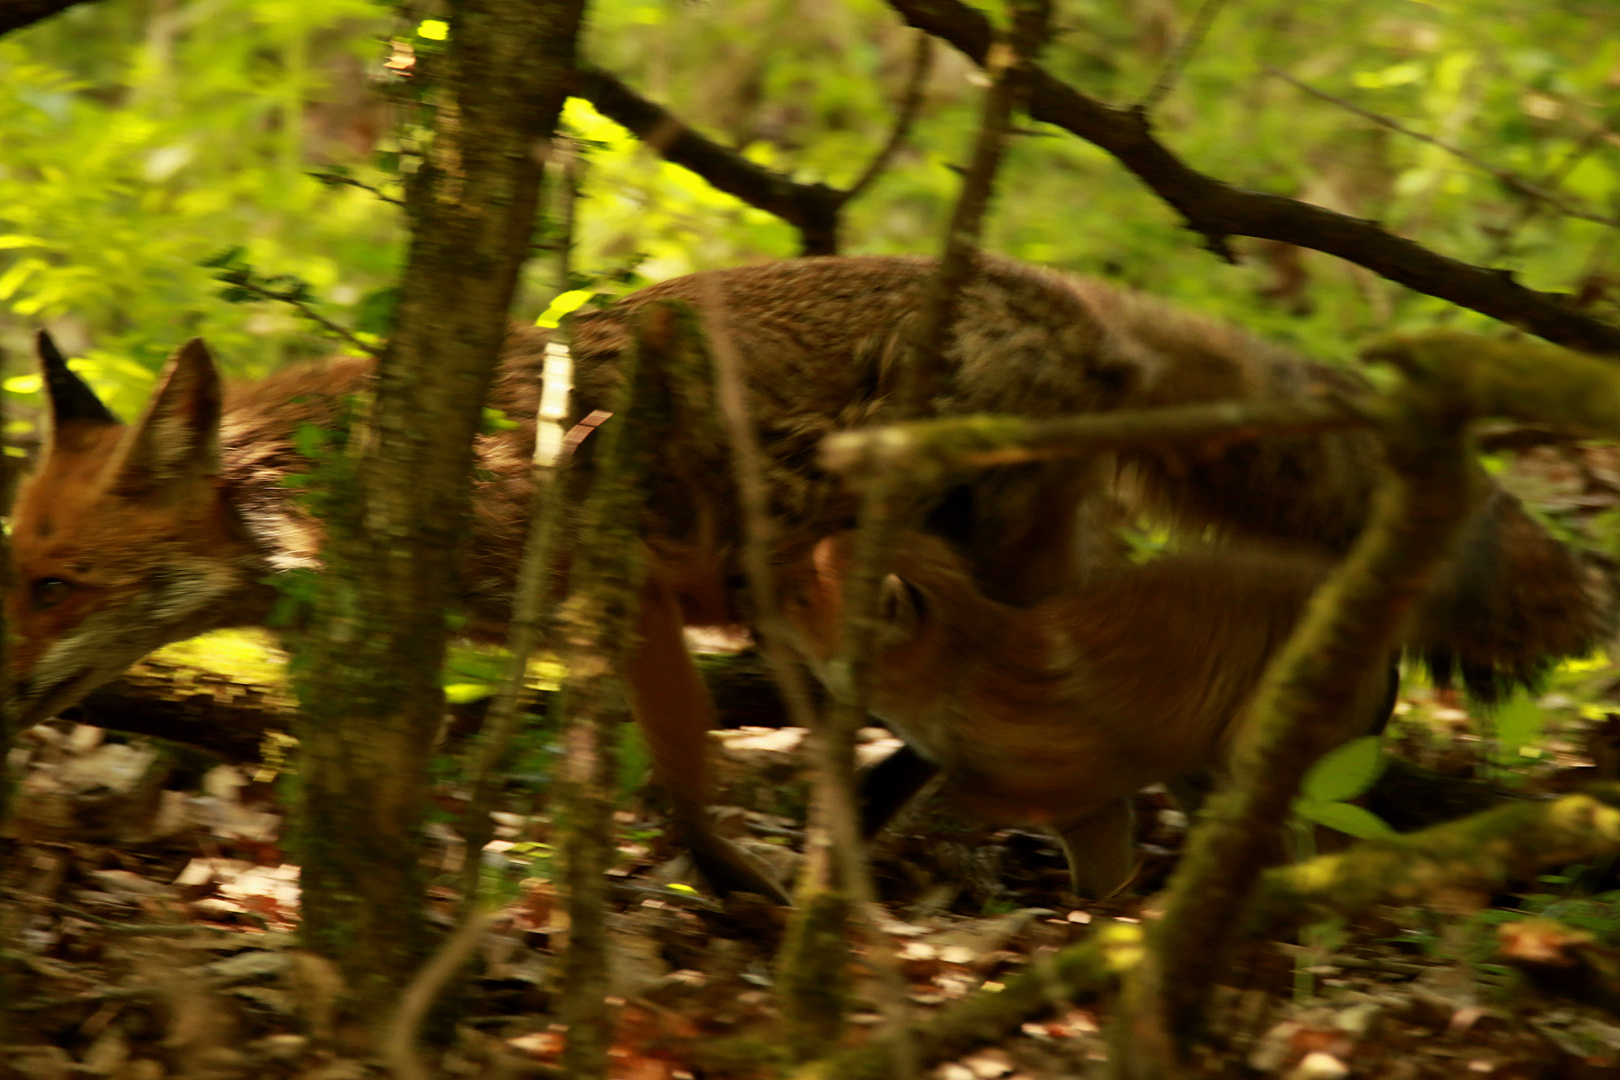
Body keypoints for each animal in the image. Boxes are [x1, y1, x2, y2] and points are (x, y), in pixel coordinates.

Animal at [780, 531, 1393, 893]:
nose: (758, 584)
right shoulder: (1092, 807)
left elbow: (946, 807)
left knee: (1334, 843)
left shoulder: (1075, 781)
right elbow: (1101, 888)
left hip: (1264, 756)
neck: (966, 681)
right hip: (1198, 770)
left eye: (803, 597)